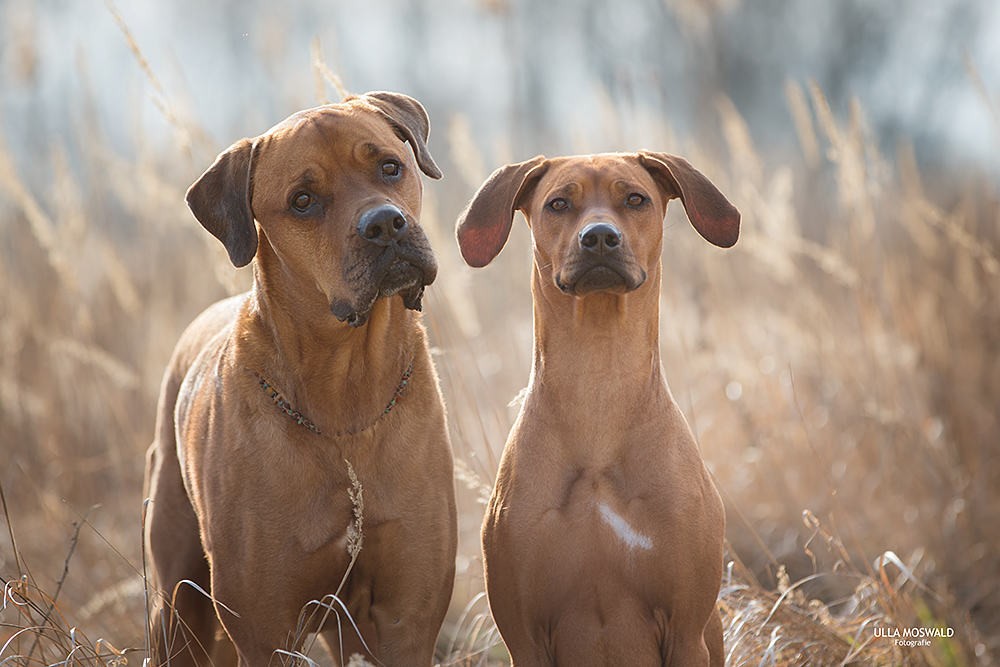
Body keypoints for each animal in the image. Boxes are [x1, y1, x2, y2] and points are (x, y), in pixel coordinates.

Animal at [145, 90, 458, 667]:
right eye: (303, 201)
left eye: (389, 167)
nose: (385, 224)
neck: (344, 396)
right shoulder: (264, 625)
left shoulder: (407, 615)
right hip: (177, 601)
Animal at [458, 153, 740, 667]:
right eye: (558, 204)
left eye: (635, 198)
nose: (600, 237)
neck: (597, 385)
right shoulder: (524, 638)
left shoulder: (686, 631)